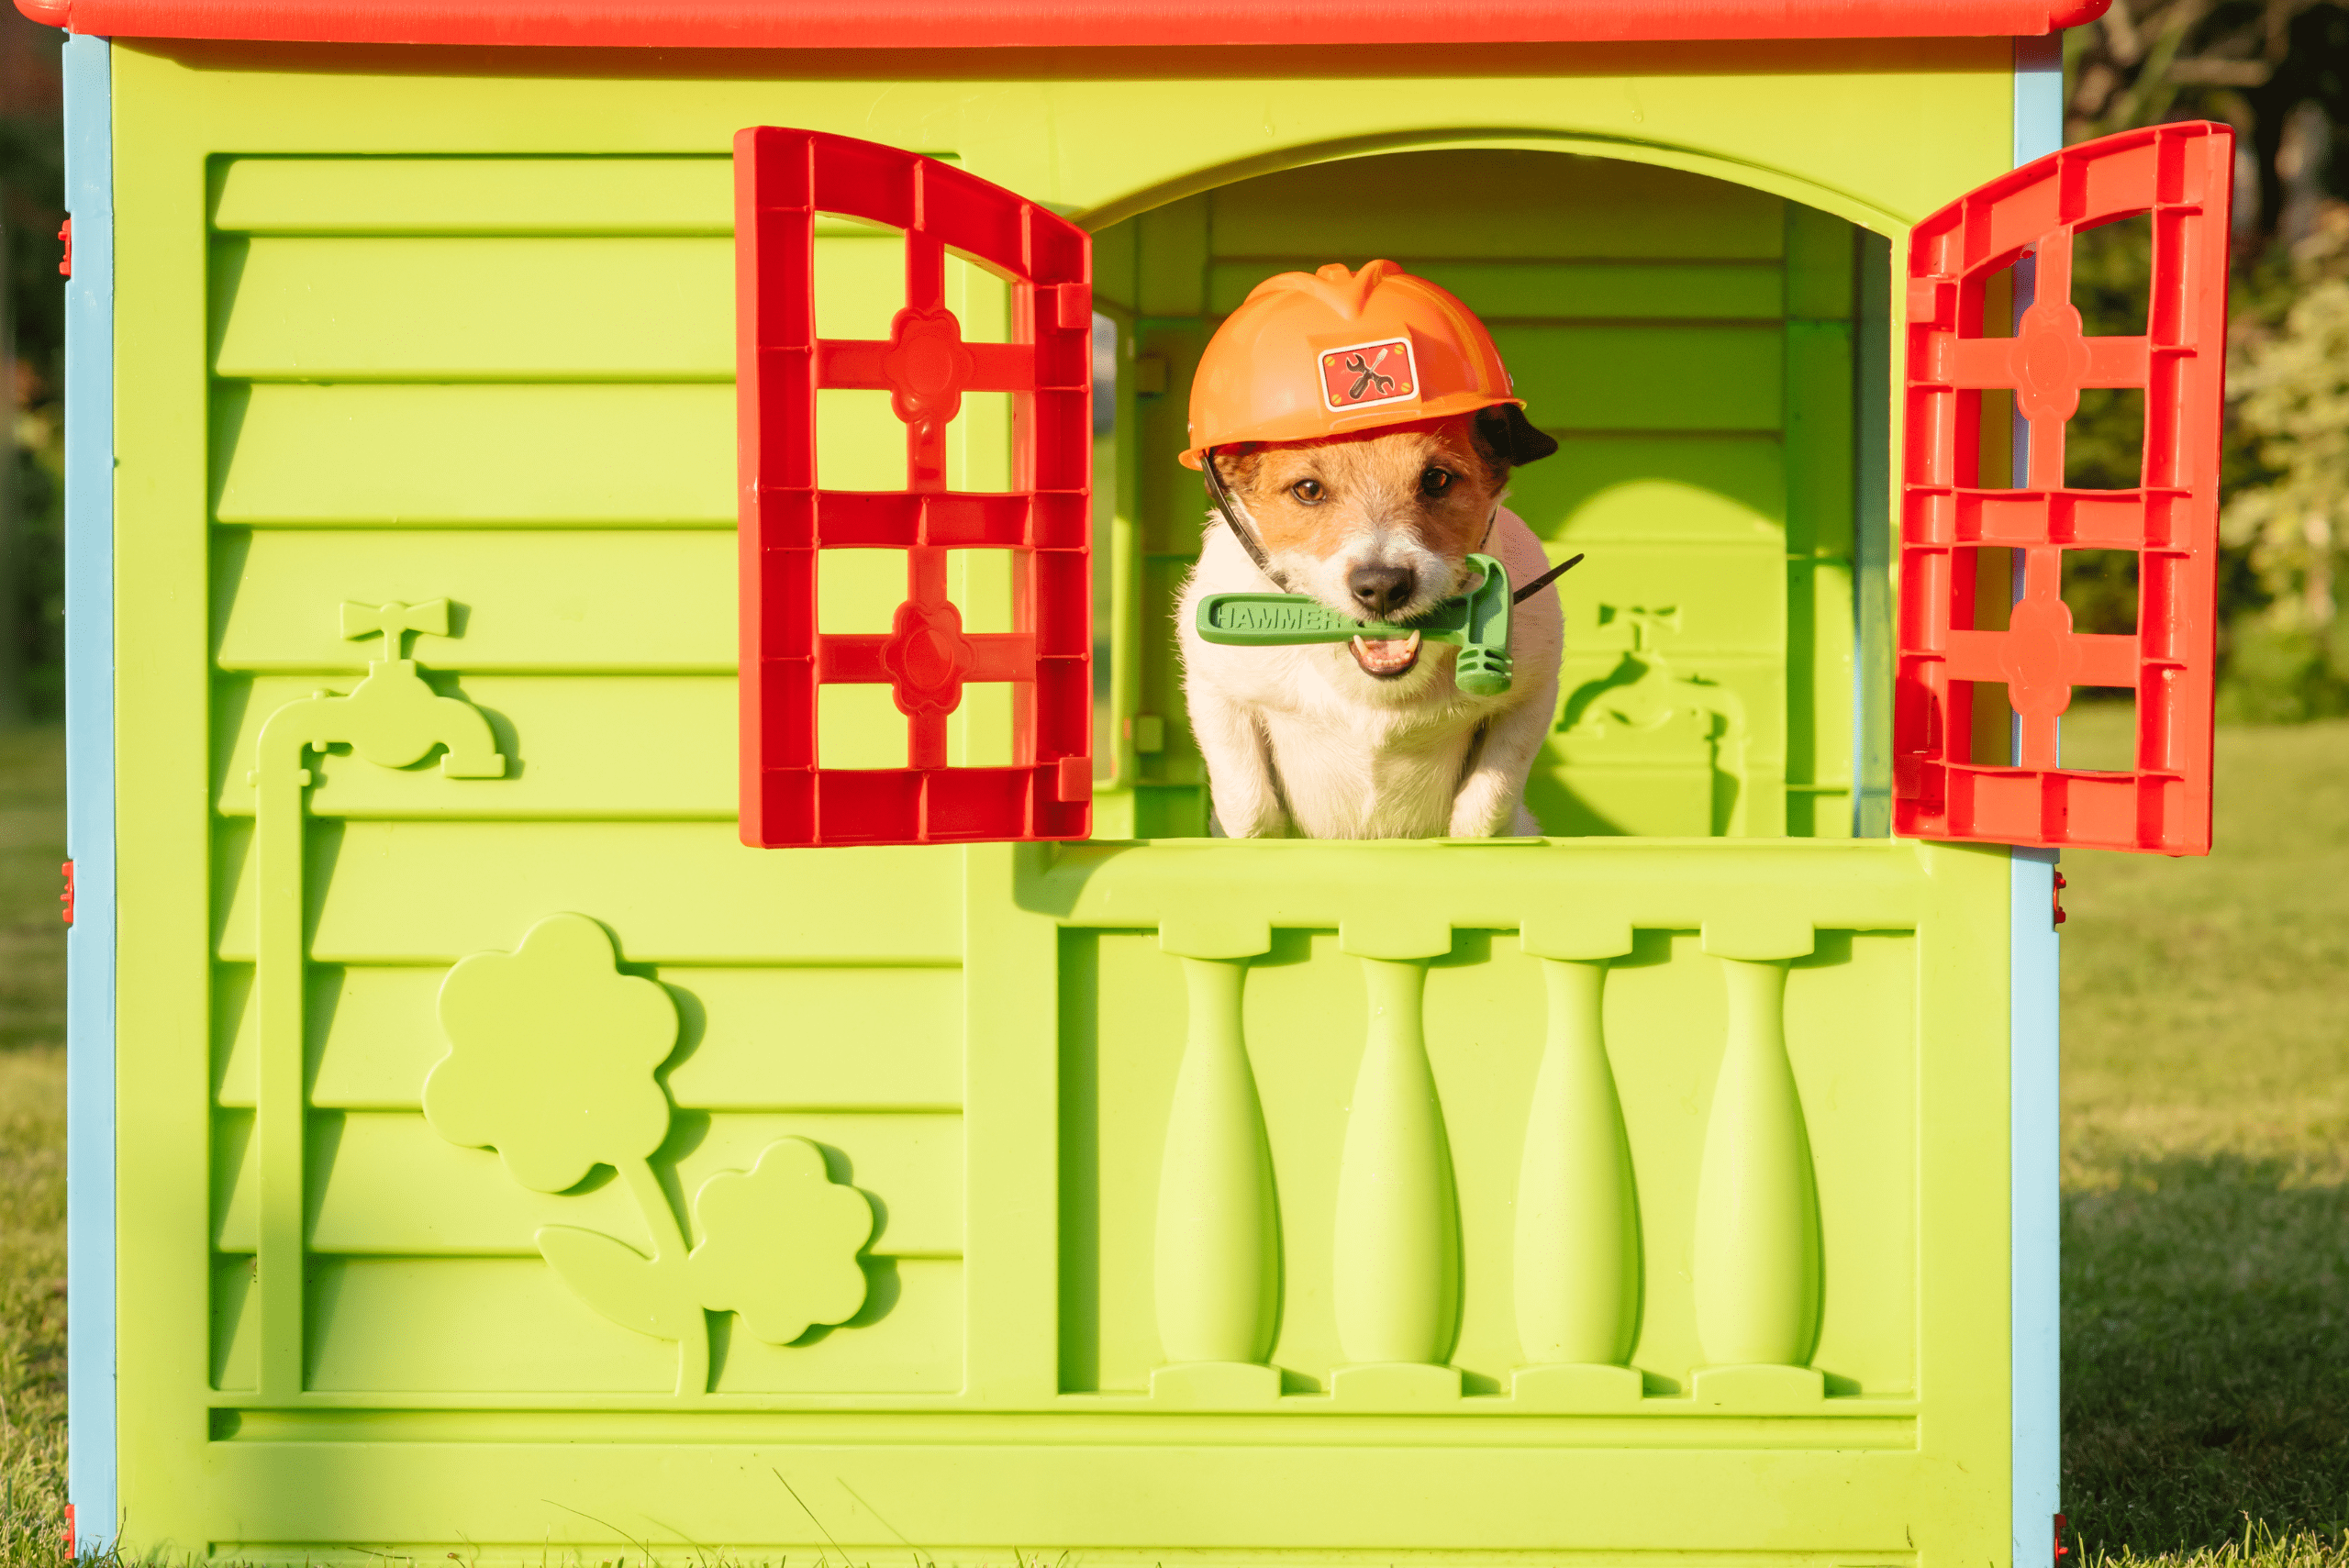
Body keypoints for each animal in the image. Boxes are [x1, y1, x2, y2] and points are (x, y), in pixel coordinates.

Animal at [1174, 410, 1559, 840]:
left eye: (1437, 479)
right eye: (1308, 489)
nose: (1383, 587)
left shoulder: (1532, 695)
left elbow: (1487, 805)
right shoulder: (1216, 694)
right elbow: (1250, 808)